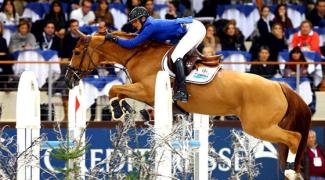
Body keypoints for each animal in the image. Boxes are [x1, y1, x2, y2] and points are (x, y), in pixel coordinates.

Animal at [64, 31, 310, 179]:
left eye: (76, 52)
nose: (68, 80)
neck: (137, 54)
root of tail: (278, 85)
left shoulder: (147, 89)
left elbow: (114, 89)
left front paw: (117, 108)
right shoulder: (146, 95)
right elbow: (123, 94)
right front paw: (125, 109)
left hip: (258, 126)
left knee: (294, 138)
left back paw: (291, 171)